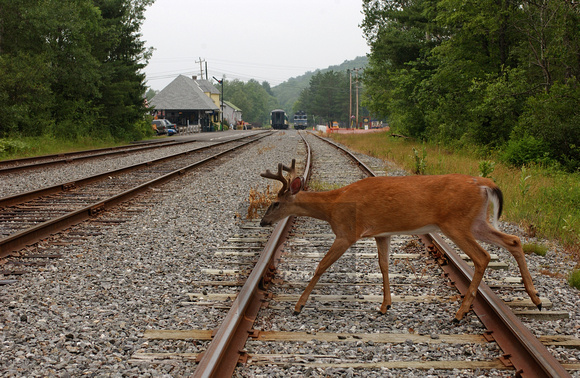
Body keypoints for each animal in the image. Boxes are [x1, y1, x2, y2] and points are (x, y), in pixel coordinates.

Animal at [260, 159, 540, 322]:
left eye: (275, 203)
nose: (263, 222)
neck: (332, 206)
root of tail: (484, 183)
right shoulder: (382, 233)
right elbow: (384, 266)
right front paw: (385, 305)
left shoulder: (346, 232)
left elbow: (321, 266)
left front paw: (298, 306)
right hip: (477, 221)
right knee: (513, 240)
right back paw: (535, 298)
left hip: (456, 223)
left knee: (483, 256)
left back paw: (459, 314)